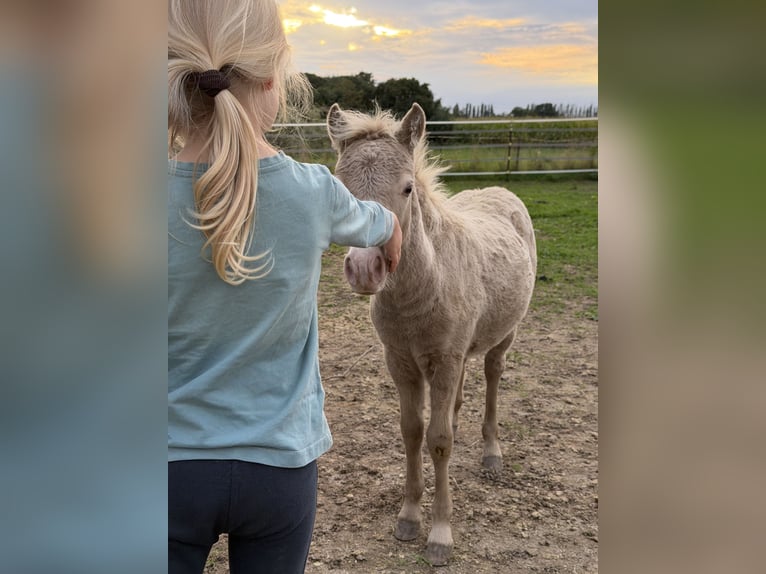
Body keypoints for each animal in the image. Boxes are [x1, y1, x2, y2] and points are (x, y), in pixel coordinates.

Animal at [326, 103, 537, 566]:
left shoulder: (445, 359)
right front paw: (408, 517)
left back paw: (491, 454)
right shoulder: (402, 362)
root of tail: (501, 191)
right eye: (338, 187)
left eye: (407, 189)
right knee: (457, 395)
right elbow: (412, 432)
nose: (365, 269)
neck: (424, 285)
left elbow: (439, 441)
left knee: (492, 374)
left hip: (504, 335)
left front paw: (440, 534)